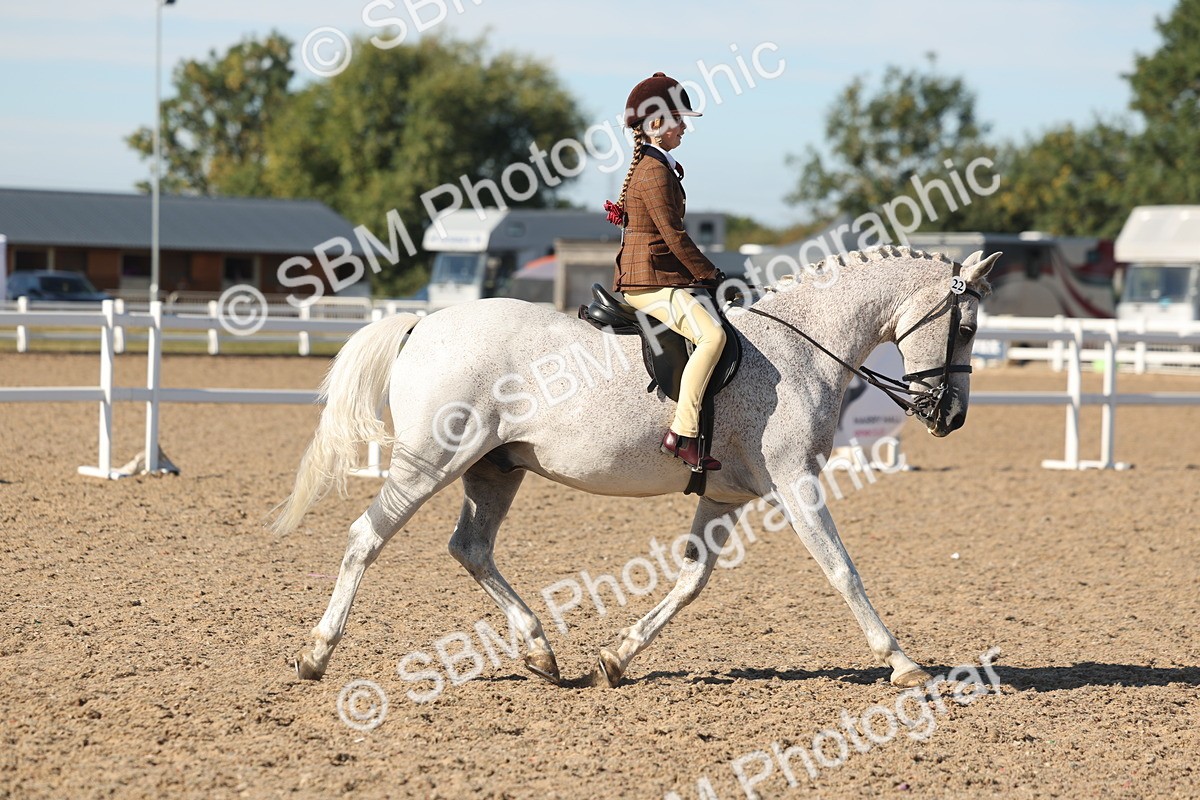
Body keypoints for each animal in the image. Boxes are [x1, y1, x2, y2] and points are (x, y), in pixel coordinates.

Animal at [275, 246, 997, 690]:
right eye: (964, 329)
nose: (952, 415)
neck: (802, 345)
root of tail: (423, 324)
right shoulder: (796, 483)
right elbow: (842, 571)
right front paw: (903, 663)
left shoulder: (726, 496)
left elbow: (692, 580)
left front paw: (615, 659)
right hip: (430, 462)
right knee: (367, 538)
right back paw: (316, 653)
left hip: (495, 469)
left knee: (471, 547)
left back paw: (540, 651)